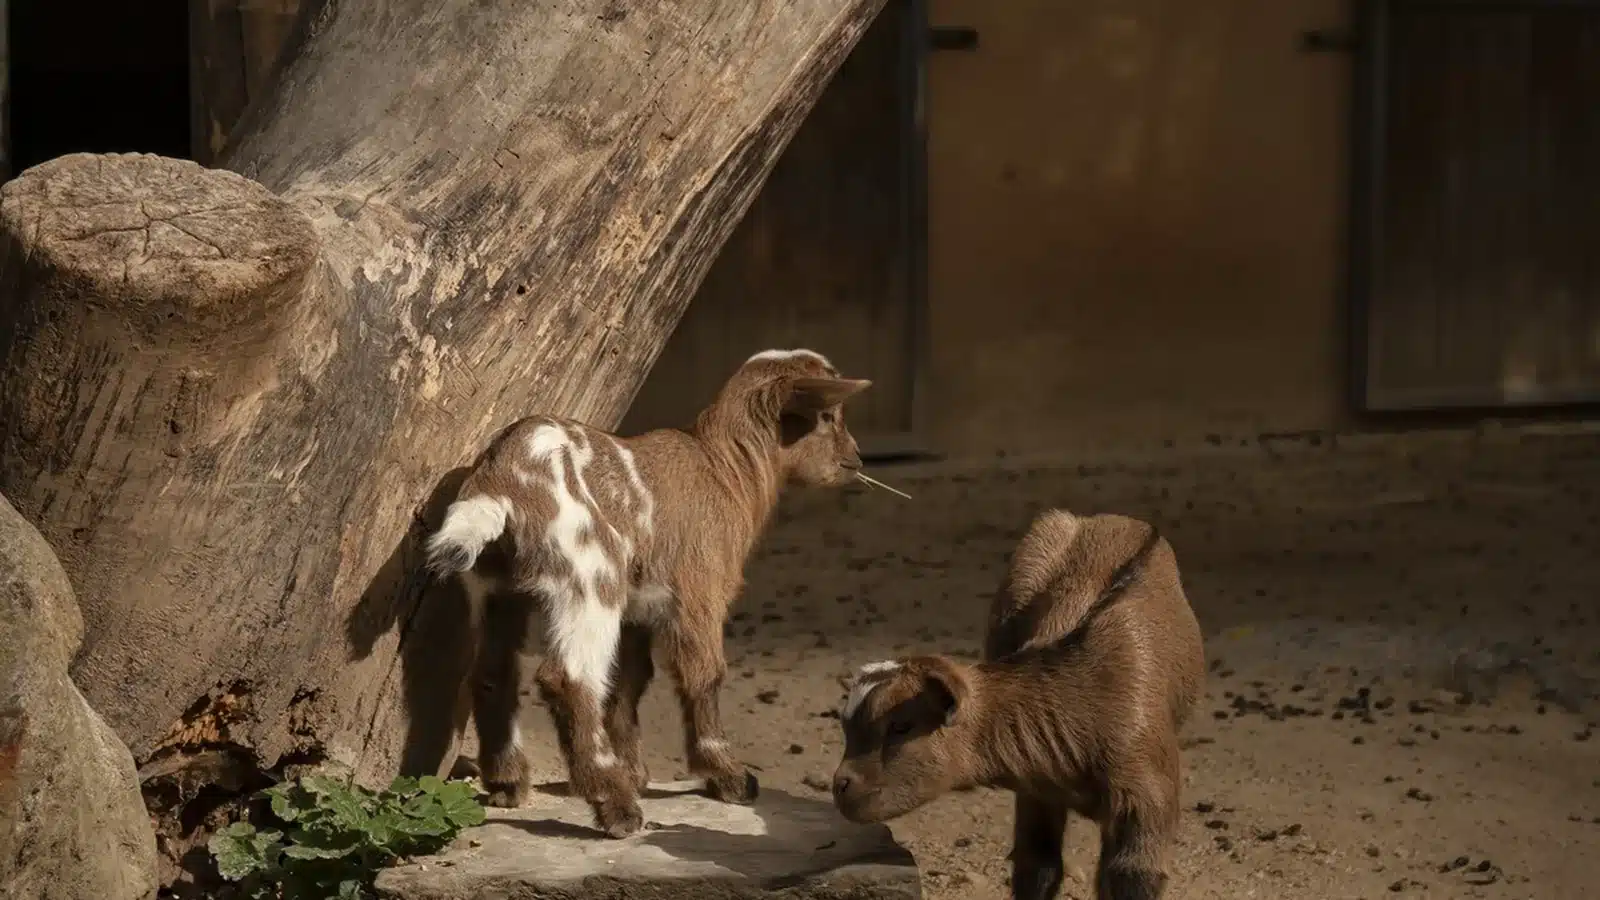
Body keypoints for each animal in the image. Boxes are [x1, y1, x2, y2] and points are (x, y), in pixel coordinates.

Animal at [424, 348, 872, 838]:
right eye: (828, 416)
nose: (856, 458)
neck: (726, 471)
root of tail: (501, 482)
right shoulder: (699, 591)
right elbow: (704, 674)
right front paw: (726, 775)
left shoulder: (637, 610)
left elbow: (629, 682)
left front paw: (634, 769)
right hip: (591, 575)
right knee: (569, 678)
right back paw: (615, 806)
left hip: (495, 586)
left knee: (493, 672)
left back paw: (509, 781)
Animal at [829, 509, 1205, 900]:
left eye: (901, 725)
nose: (841, 786)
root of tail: (1104, 518)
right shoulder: (1037, 785)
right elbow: (1037, 864)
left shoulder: (1147, 795)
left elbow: (1131, 874)